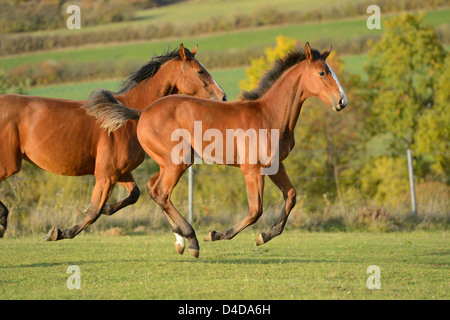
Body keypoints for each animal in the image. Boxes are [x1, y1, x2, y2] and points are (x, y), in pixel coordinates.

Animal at [0, 43, 225, 241]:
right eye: (200, 72)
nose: (223, 97)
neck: (127, 115)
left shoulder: (119, 171)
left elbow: (133, 194)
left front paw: (107, 209)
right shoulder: (106, 175)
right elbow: (94, 211)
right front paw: (60, 233)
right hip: (9, 166)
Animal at [84, 42, 346, 258]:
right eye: (322, 72)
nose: (342, 101)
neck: (269, 115)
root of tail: (143, 112)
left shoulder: (275, 166)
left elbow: (290, 196)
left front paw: (264, 236)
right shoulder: (251, 170)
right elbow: (255, 210)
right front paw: (216, 234)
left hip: (172, 162)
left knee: (152, 187)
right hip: (177, 162)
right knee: (160, 192)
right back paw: (191, 241)